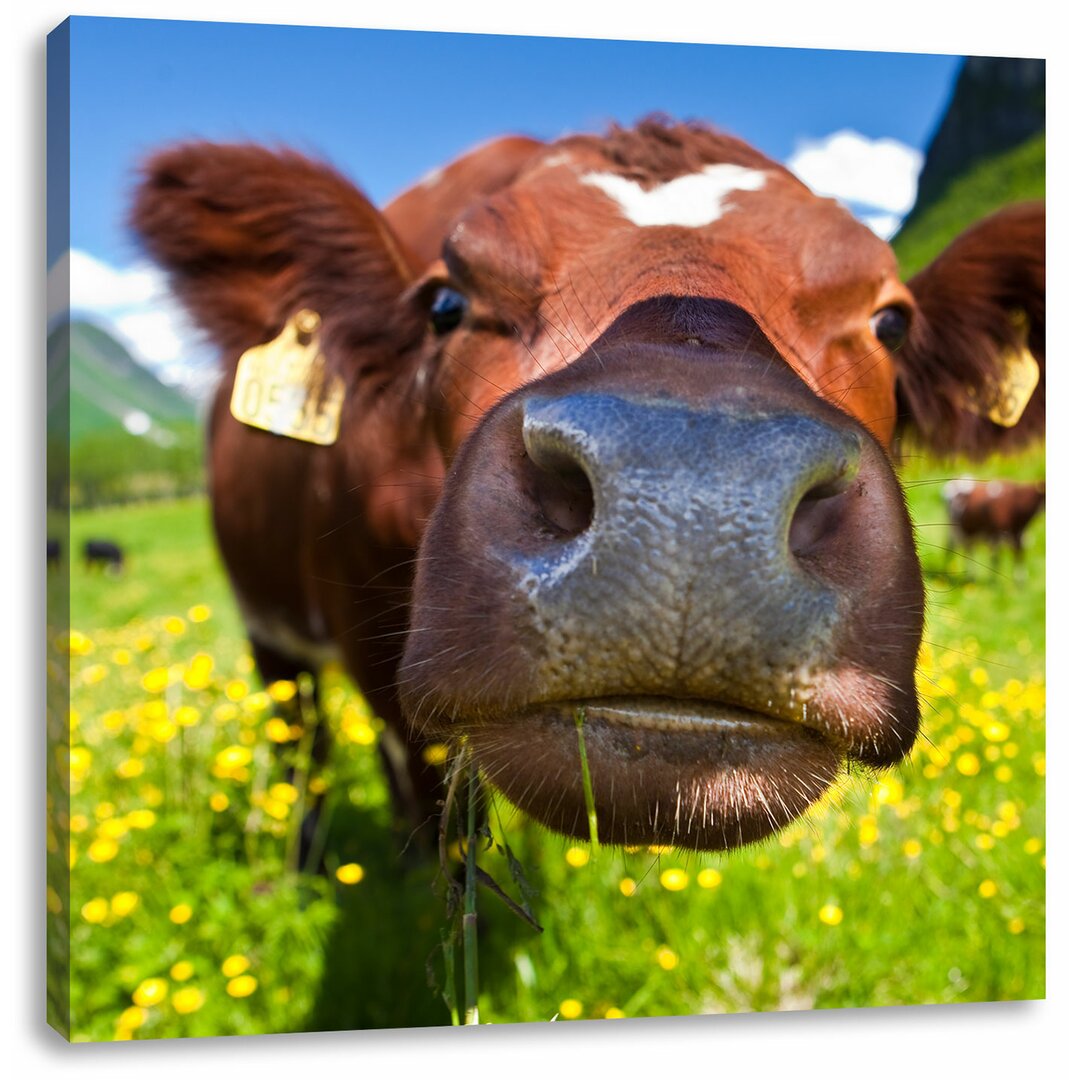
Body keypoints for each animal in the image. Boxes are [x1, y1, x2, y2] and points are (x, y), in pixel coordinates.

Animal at [128, 118, 1045, 855]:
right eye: (445, 304)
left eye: (891, 321)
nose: (692, 492)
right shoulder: (374, 659)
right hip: (270, 629)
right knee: (300, 746)